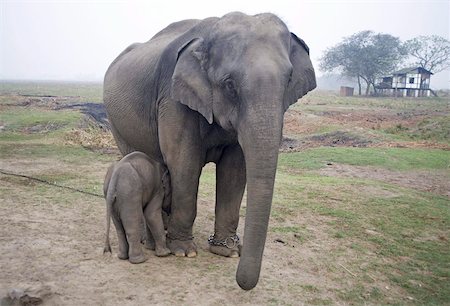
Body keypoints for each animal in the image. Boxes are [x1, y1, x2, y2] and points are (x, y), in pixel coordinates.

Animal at [103, 11, 314, 290]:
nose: (242, 283)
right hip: (115, 120)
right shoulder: (172, 97)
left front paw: (227, 251)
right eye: (229, 84)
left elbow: (235, 169)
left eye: (289, 80)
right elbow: (185, 161)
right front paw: (184, 252)